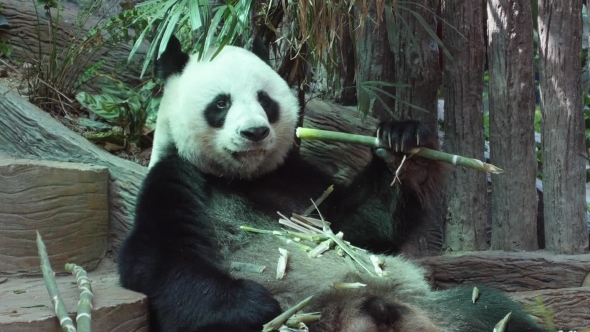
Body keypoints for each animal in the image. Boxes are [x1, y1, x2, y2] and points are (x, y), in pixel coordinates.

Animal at [118, 34, 548, 332]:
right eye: (221, 103)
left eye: (265, 100)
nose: (255, 132)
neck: (244, 179)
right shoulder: (179, 179)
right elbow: (161, 261)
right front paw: (260, 306)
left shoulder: (298, 182)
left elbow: (358, 227)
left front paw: (403, 146)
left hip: (434, 306)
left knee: (492, 309)